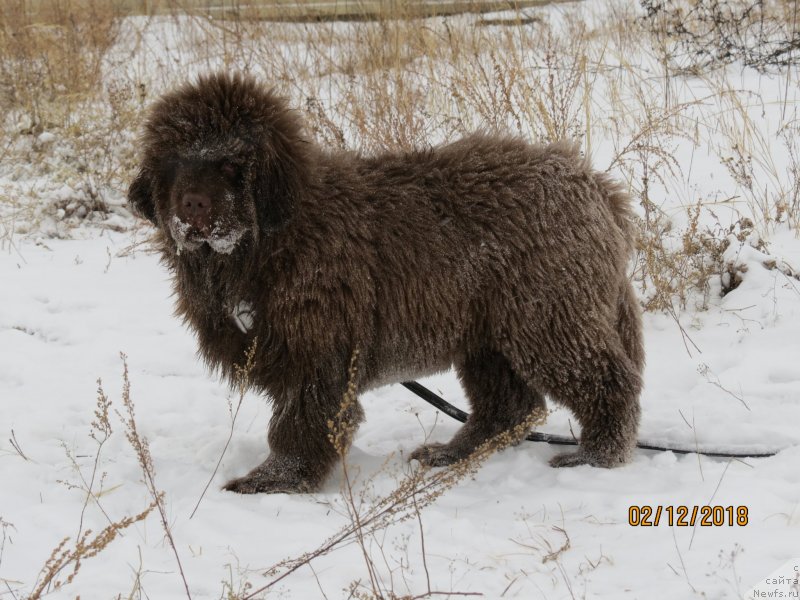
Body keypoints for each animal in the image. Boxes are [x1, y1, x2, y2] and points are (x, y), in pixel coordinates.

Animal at [130, 72, 644, 494]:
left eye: (231, 164)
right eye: (173, 162)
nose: (192, 207)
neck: (274, 239)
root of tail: (593, 183)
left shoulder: (318, 351)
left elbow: (301, 420)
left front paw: (277, 479)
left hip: (548, 318)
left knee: (607, 381)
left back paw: (596, 454)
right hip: (488, 332)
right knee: (509, 403)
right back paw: (455, 452)